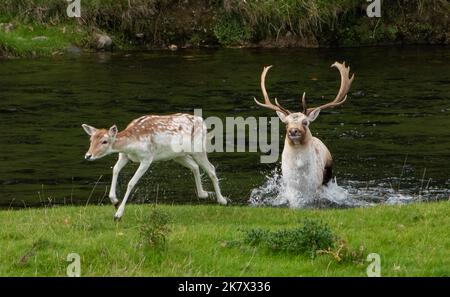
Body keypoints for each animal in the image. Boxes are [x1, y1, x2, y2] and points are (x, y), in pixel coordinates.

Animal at [81, 112, 227, 219]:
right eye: (91, 139)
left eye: (104, 141)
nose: (88, 155)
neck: (131, 145)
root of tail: (203, 123)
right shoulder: (123, 156)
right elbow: (115, 170)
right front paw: (115, 201)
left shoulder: (147, 158)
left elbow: (131, 182)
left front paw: (118, 214)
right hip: (178, 155)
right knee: (195, 166)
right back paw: (205, 194)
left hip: (198, 149)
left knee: (211, 168)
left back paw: (222, 200)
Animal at [253, 61, 356, 205]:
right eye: (286, 123)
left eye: (305, 122)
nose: (293, 130)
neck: (300, 176)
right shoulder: (290, 187)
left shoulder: (316, 186)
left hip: (328, 172)